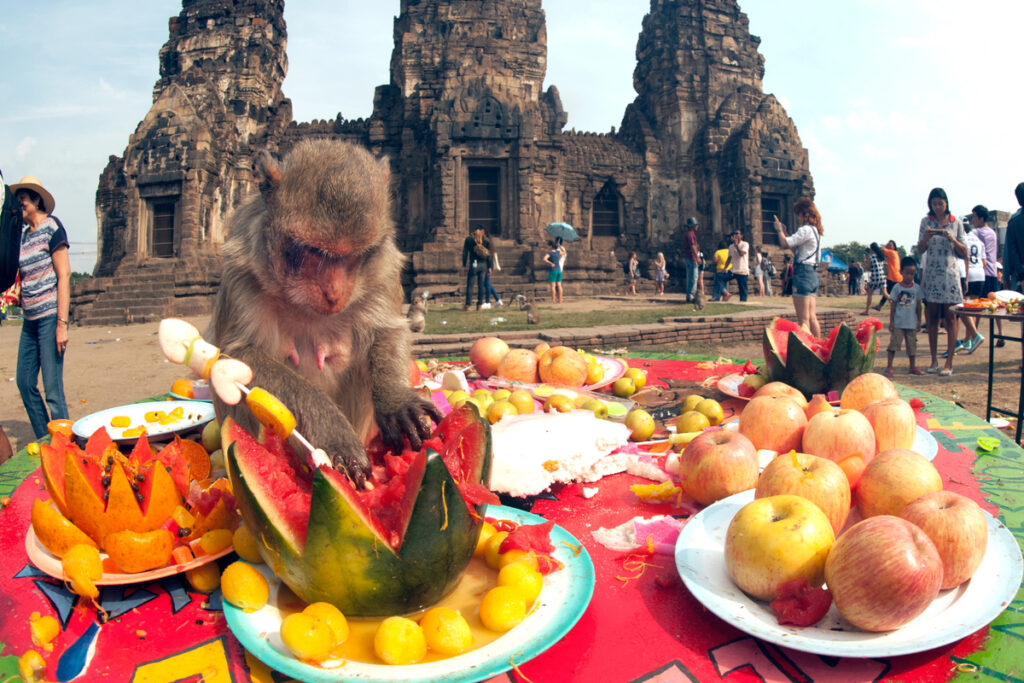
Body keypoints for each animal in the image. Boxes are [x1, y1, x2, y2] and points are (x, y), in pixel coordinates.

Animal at [209, 139, 442, 483]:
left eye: (354, 256)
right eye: (313, 252)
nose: (333, 292)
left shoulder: (383, 268)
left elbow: (387, 331)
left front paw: (395, 399)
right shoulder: (241, 270)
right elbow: (237, 355)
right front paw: (332, 430)